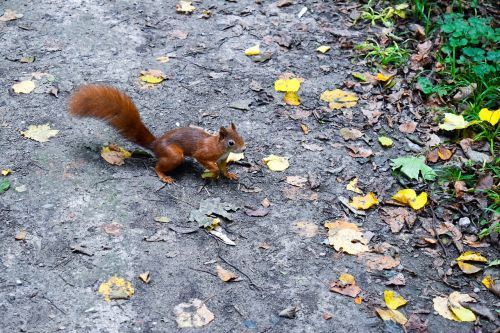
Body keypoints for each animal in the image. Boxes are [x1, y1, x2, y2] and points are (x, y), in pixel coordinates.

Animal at [68, 83, 244, 182]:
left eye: (241, 137)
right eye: (231, 142)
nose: (243, 148)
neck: (219, 146)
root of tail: (155, 145)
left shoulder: (223, 159)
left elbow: (223, 168)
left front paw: (229, 175)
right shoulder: (204, 153)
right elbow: (206, 161)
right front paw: (213, 172)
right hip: (174, 155)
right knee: (157, 166)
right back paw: (163, 176)